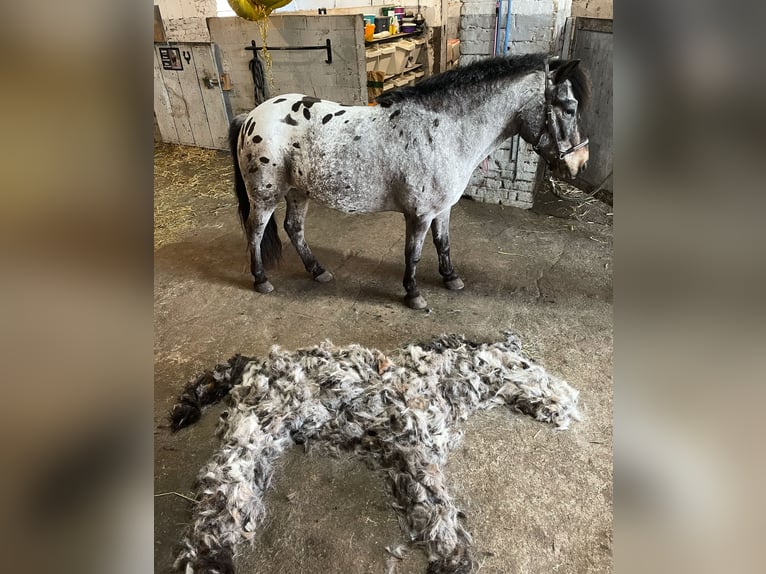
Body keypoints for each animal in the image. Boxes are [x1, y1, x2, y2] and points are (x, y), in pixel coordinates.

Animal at [228, 54, 592, 310]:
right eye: (569, 107)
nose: (580, 161)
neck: (443, 131)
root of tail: (250, 116)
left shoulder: (442, 210)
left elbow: (443, 244)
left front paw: (451, 278)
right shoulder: (419, 214)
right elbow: (414, 253)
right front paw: (413, 294)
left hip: (297, 191)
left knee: (294, 229)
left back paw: (318, 271)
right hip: (266, 195)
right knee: (256, 232)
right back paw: (261, 280)